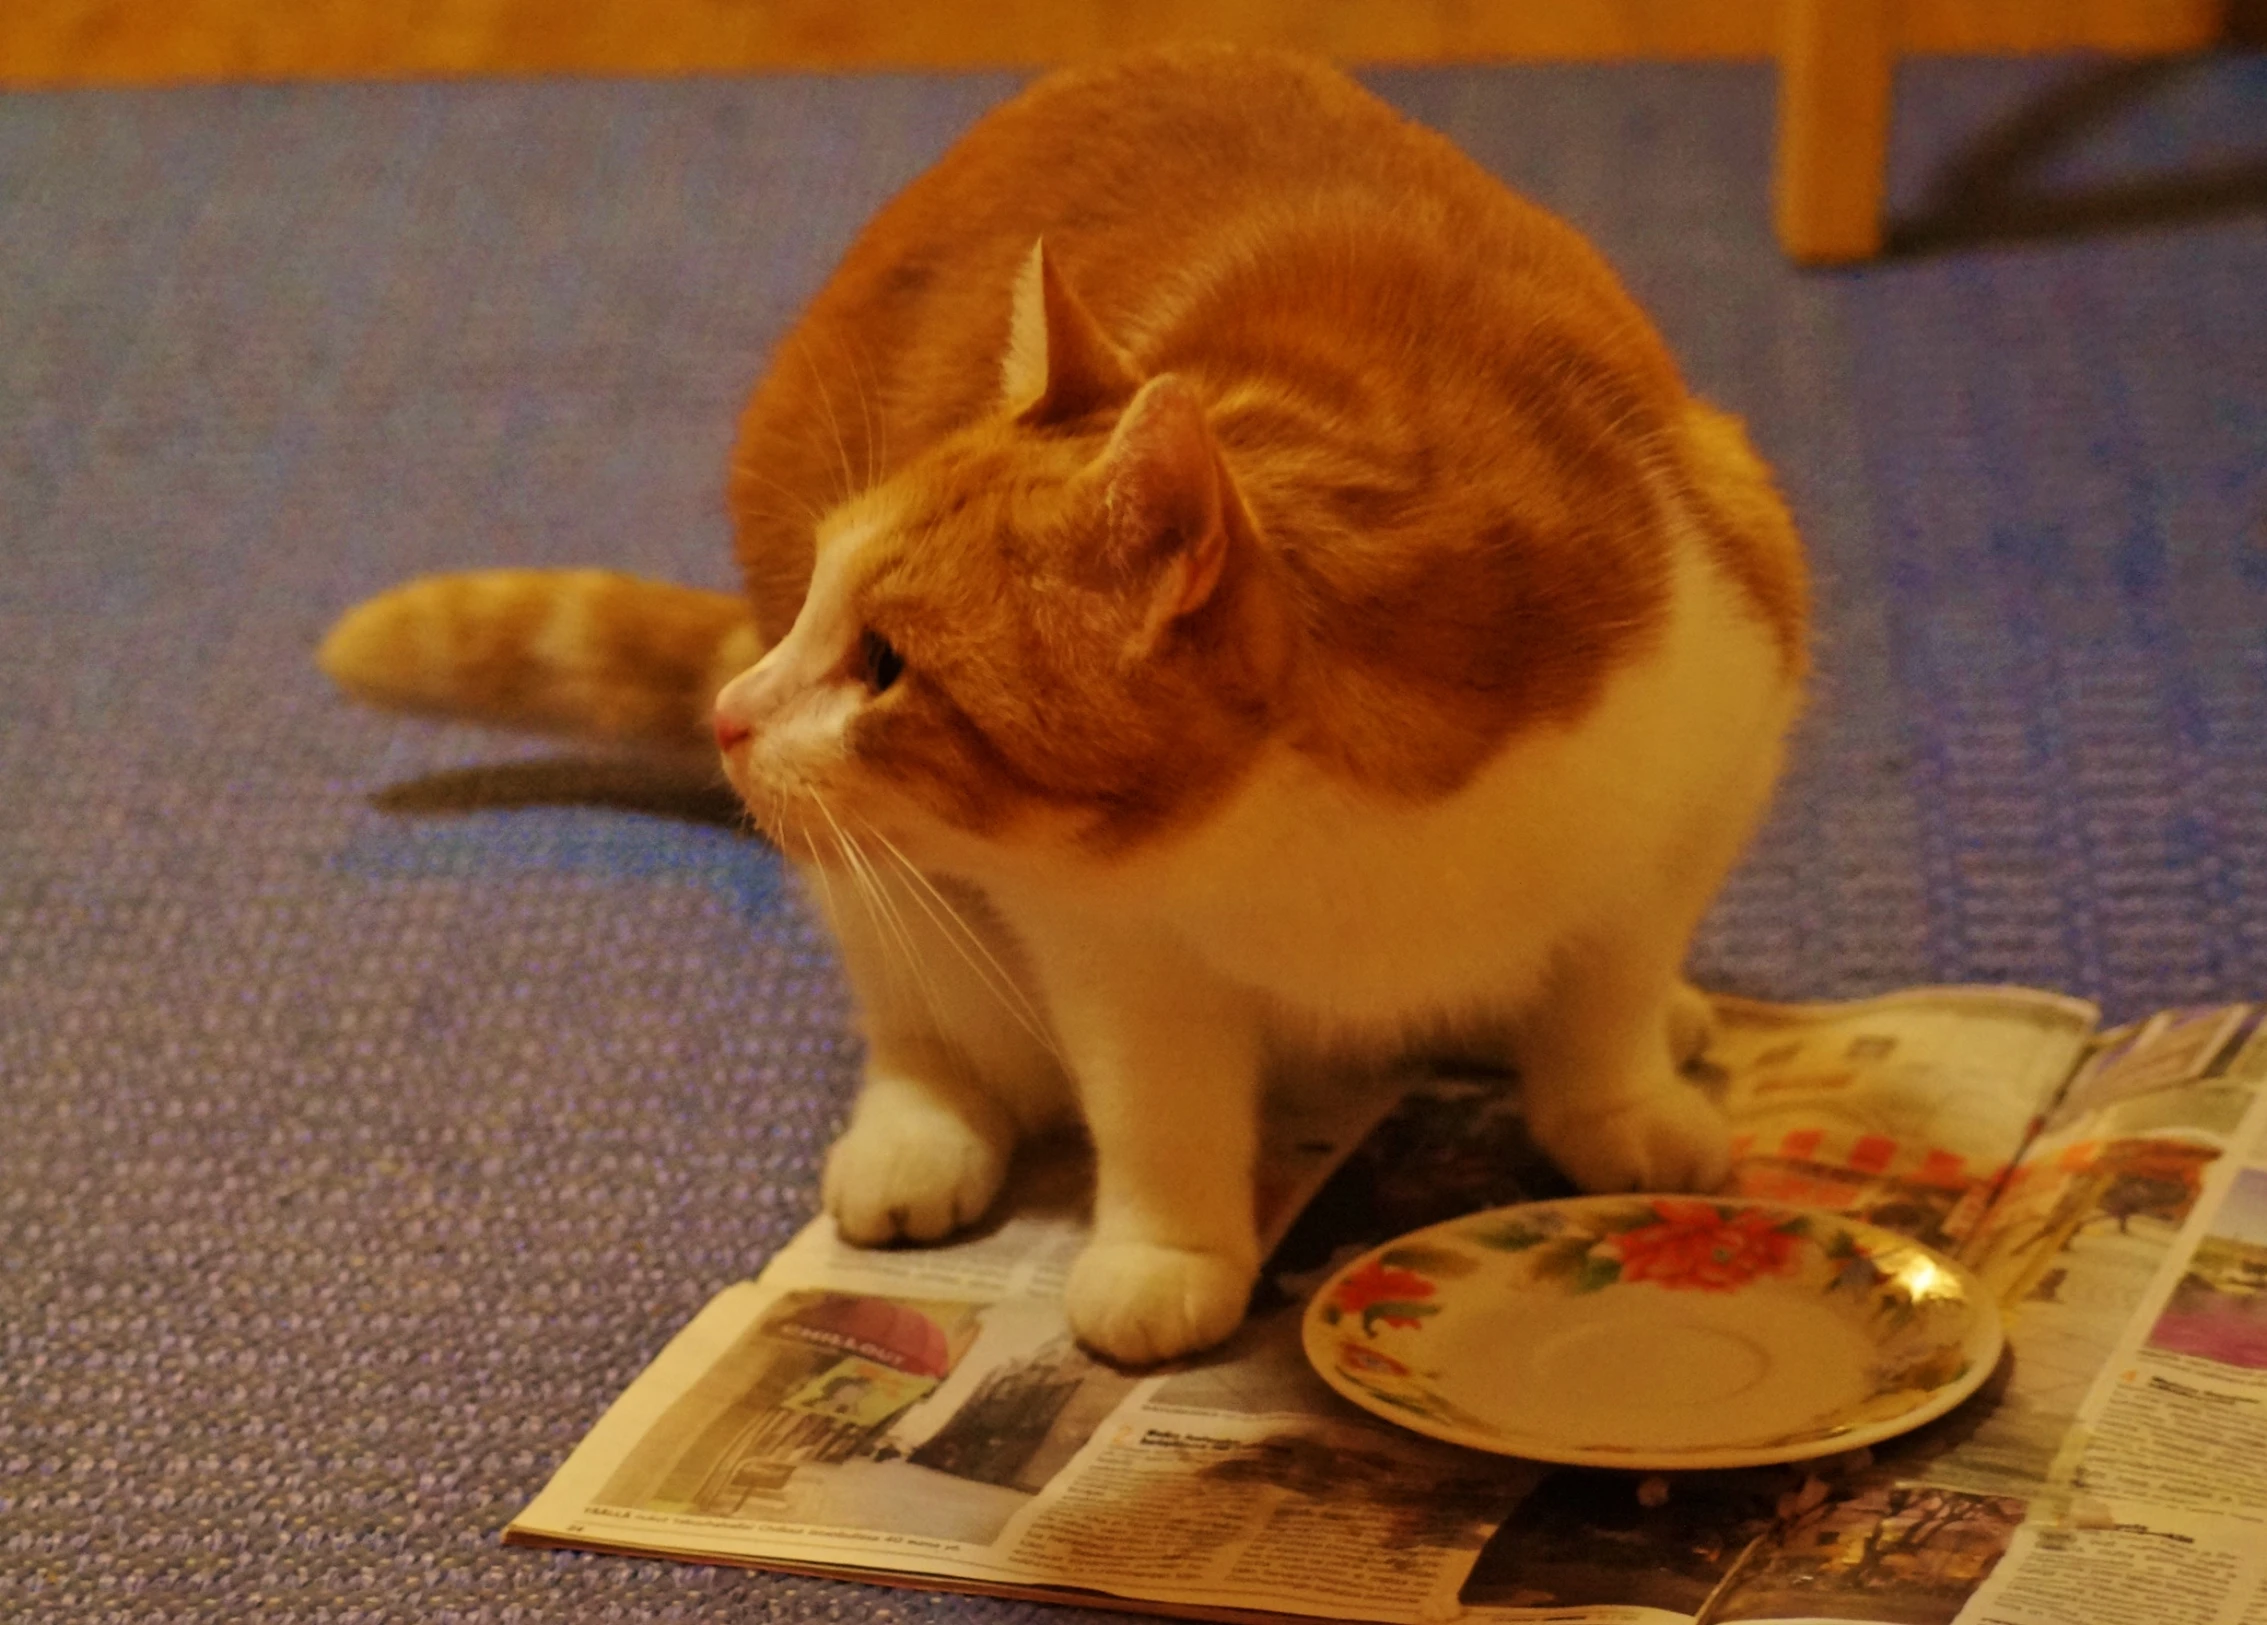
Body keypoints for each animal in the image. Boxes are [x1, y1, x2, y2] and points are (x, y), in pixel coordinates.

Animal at [319, 50, 1804, 1359]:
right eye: (818, 605)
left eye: (884, 663)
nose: (734, 713)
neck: (1330, 865)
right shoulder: (1106, 942)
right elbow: (1156, 1107)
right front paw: (1168, 1253)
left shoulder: (1708, 762)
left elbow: (1607, 983)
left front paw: (1617, 1098)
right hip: (873, 885)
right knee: (915, 1010)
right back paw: (918, 1129)